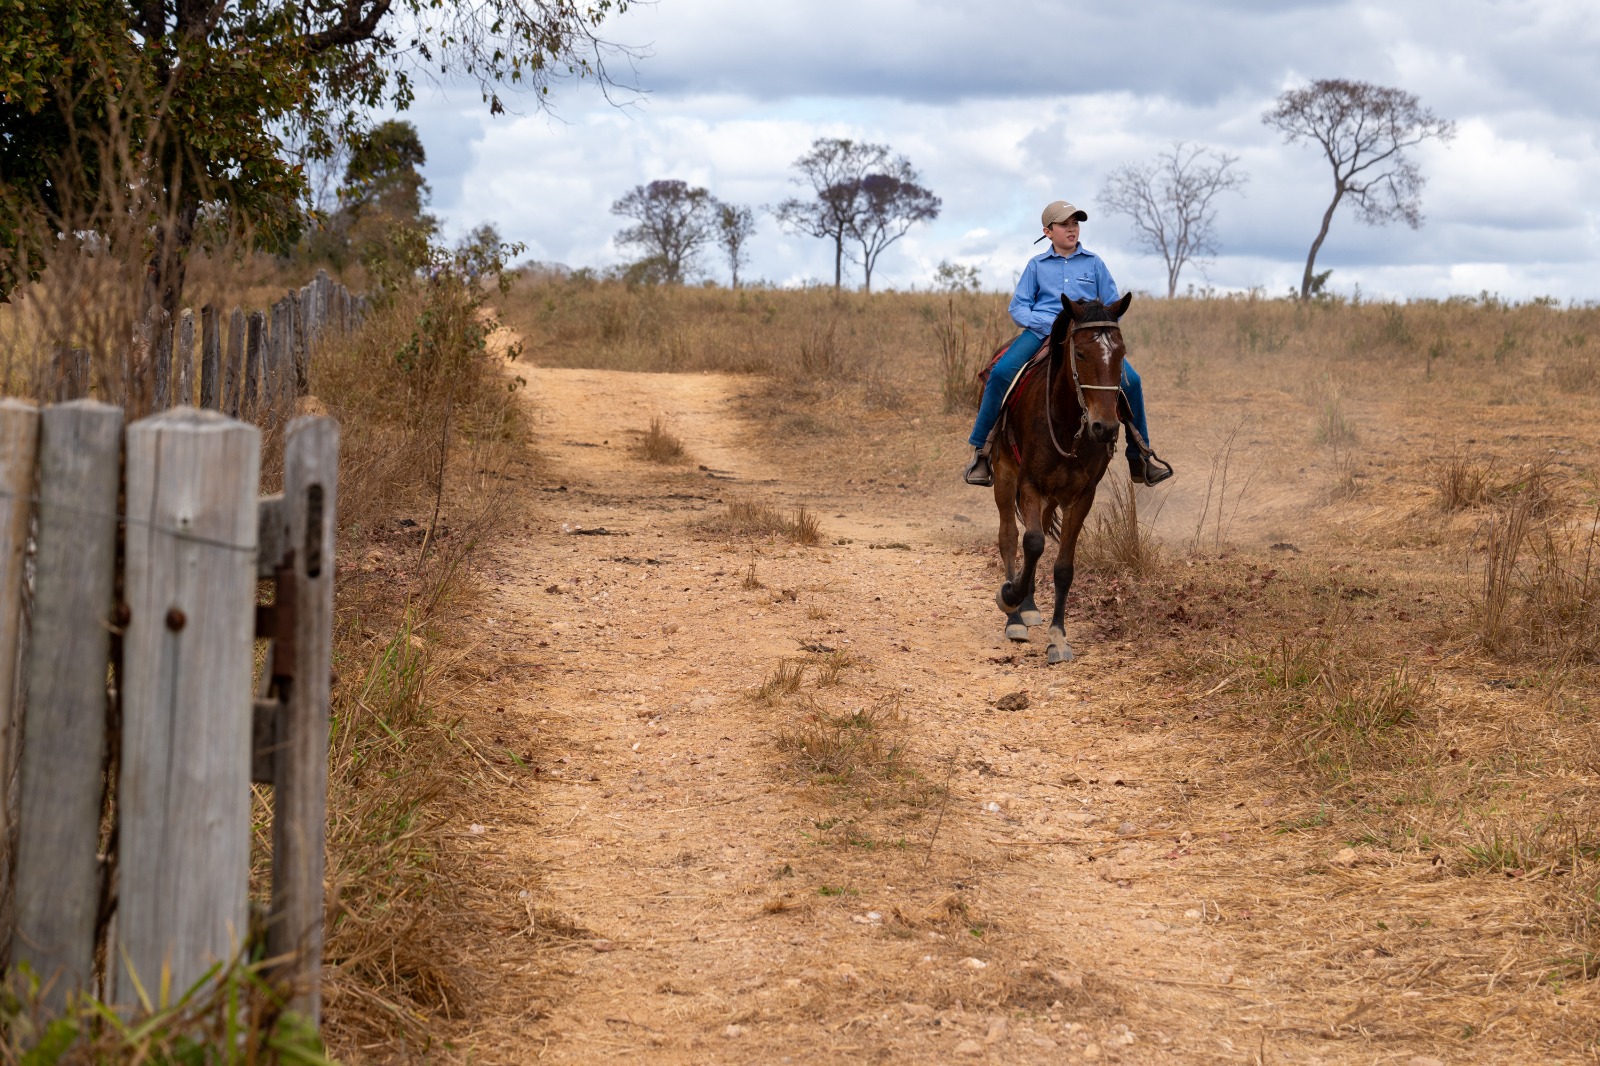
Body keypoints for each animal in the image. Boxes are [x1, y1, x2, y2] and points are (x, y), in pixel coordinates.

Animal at [992, 294, 1132, 659]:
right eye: (1080, 353)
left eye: (1121, 353)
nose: (1104, 427)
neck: (1068, 425)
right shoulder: (1028, 483)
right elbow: (1032, 542)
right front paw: (1009, 596)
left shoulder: (1082, 495)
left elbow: (1063, 566)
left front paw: (1058, 636)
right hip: (1004, 474)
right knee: (1010, 536)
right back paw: (1015, 616)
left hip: (1052, 495)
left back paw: (1028, 607)